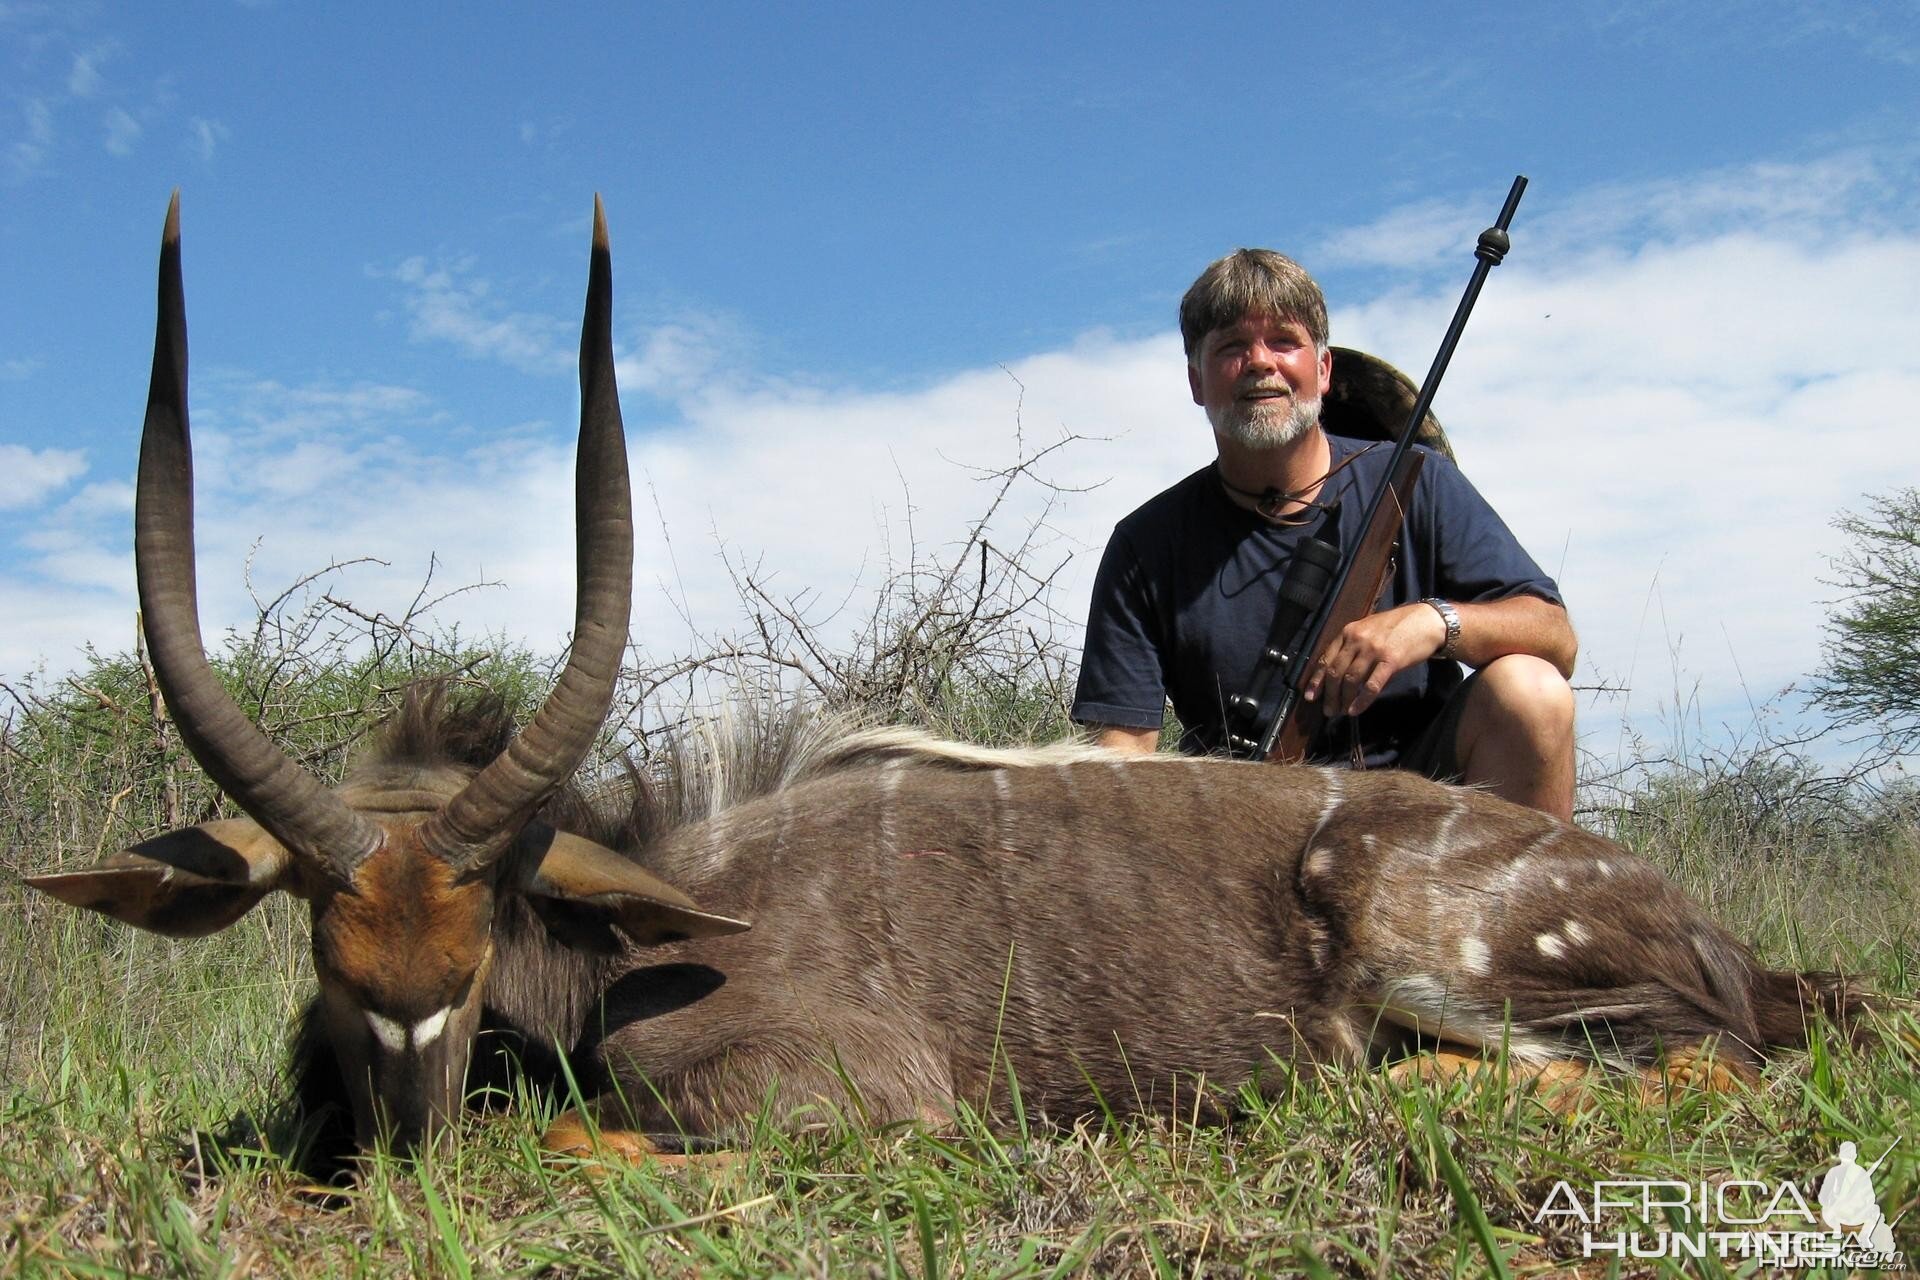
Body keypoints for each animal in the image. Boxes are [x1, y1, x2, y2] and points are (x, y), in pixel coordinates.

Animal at [30, 192, 1858, 1174]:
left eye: (476, 937)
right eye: (317, 939)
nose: (402, 1119)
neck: (647, 930)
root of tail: (1703, 925)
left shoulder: (848, 1103)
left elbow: (568, 1133)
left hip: (1488, 975)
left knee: (1692, 1066)